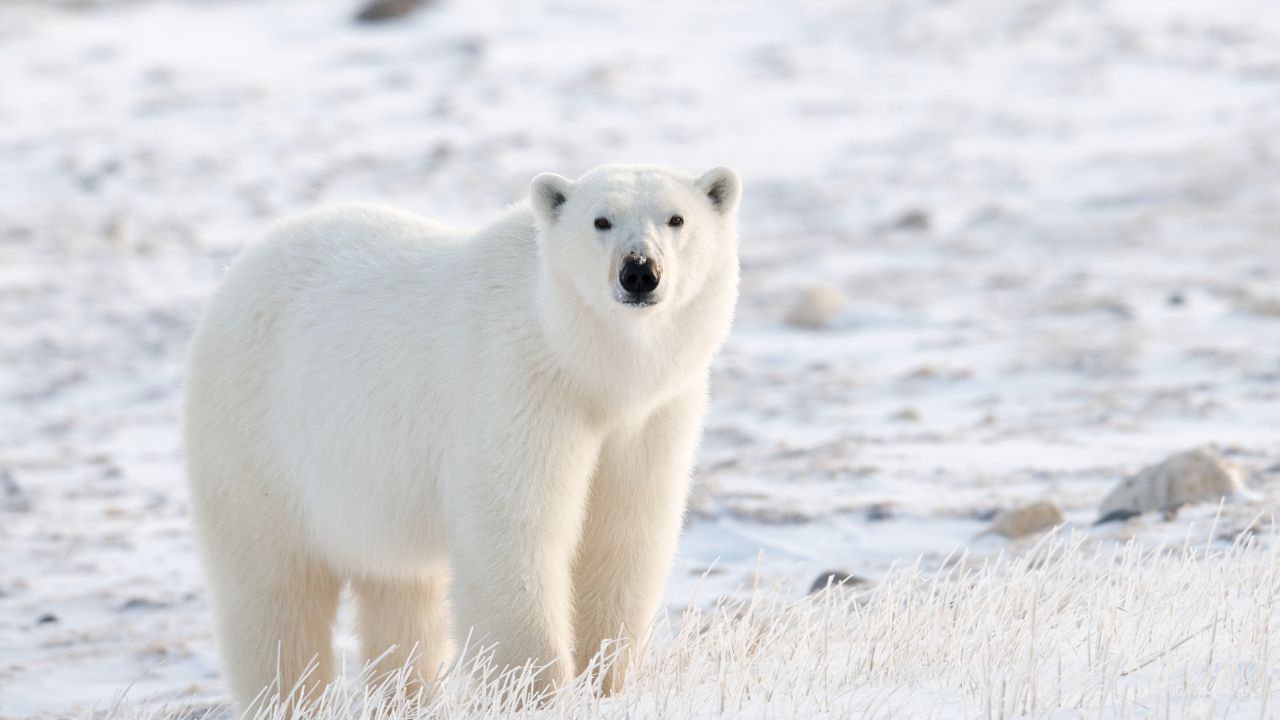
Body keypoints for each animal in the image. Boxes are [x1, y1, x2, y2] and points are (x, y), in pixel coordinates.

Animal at [183, 164, 742, 709]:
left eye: (676, 219)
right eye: (601, 220)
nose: (640, 271)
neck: (586, 367)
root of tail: (241, 267)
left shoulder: (650, 417)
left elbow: (623, 533)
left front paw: (606, 683)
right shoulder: (516, 388)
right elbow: (514, 532)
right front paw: (537, 692)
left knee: (400, 595)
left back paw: (406, 696)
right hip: (257, 443)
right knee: (274, 594)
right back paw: (289, 696)